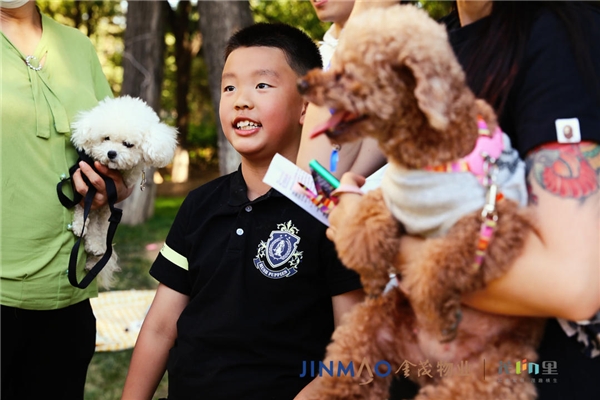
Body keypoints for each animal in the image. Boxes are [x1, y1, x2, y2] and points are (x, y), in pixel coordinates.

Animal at [70, 95, 177, 290]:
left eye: (128, 144)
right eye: (106, 138)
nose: (111, 153)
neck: (111, 174)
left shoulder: (106, 201)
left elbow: (97, 223)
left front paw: (94, 243)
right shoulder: (86, 182)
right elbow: (84, 207)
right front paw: (79, 224)